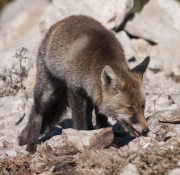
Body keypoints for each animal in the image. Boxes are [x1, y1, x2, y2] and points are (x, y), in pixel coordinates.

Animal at [19, 15, 150, 154]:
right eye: (129, 108)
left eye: (143, 106)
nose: (146, 130)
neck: (90, 67)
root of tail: (64, 20)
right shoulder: (75, 92)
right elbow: (80, 123)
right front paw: (81, 138)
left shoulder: (97, 97)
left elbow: (101, 122)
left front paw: (106, 140)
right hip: (46, 93)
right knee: (37, 117)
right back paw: (32, 143)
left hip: (88, 98)